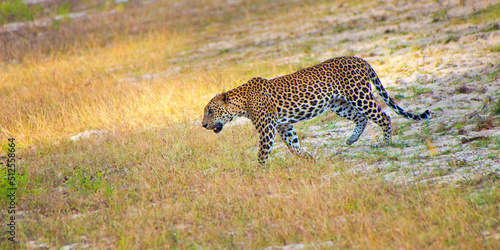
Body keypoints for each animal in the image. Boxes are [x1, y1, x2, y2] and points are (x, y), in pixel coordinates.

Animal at [201, 56, 432, 165]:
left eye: (210, 111)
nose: (203, 125)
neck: (241, 103)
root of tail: (360, 59)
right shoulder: (284, 125)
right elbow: (293, 147)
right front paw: (309, 159)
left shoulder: (267, 128)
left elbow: (262, 153)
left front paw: (259, 173)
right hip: (339, 104)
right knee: (361, 119)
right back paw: (351, 139)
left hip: (359, 96)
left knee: (383, 116)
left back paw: (386, 143)